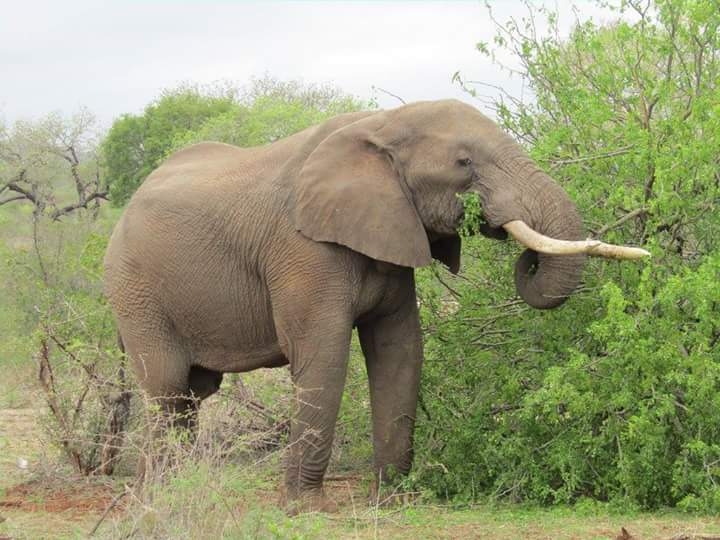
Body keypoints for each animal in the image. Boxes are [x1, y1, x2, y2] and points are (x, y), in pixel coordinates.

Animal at [103, 99, 647, 510]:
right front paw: (305, 509)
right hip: (135, 290)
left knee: (192, 394)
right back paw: (157, 500)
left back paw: (168, 495)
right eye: (465, 163)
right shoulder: (304, 249)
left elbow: (400, 350)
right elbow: (323, 355)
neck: (383, 123)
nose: (525, 260)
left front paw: (395, 501)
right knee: (168, 389)